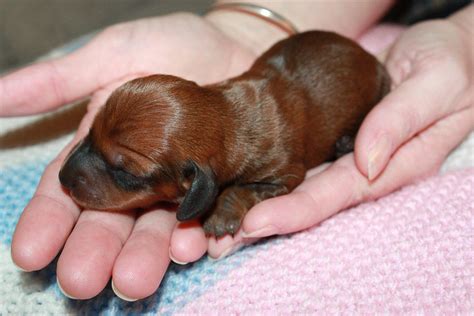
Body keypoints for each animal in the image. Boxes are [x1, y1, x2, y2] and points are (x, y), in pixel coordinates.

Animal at [58, 30, 388, 236]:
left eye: (125, 172)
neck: (227, 116)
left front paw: (220, 217)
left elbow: (240, 188)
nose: (62, 178)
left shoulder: (284, 173)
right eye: (90, 132)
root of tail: (370, 56)